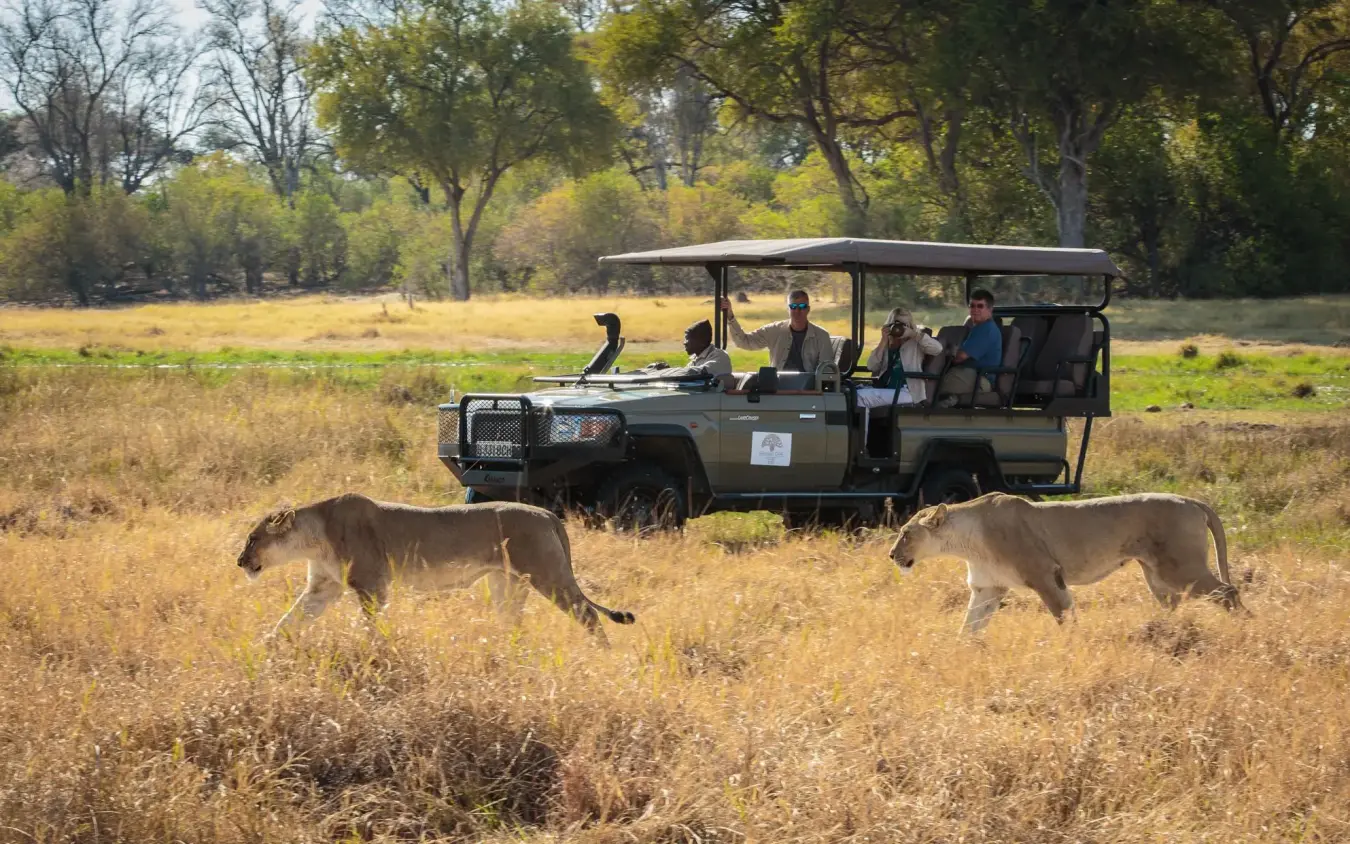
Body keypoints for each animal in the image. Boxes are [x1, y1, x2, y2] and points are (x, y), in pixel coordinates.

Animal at [235, 493, 635, 645]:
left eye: (253, 539)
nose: (239, 562)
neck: (312, 538)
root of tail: (549, 514)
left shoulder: (371, 585)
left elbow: (371, 626)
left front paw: (373, 650)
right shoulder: (322, 588)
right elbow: (289, 619)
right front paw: (266, 647)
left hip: (547, 574)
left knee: (588, 615)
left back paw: (602, 653)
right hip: (507, 583)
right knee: (514, 623)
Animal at [887, 491, 1242, 633]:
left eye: (906, 533)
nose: (891, 555)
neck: (966, 540)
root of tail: (1191, 500)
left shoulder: (1046, 574)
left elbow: (1064, 617)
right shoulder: (987, 587)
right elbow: (969, 627)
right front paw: (959, 652)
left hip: (1181, 568)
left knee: (1229, 591)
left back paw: (1243, 630)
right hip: (1157, 577)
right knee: (1176, 603)